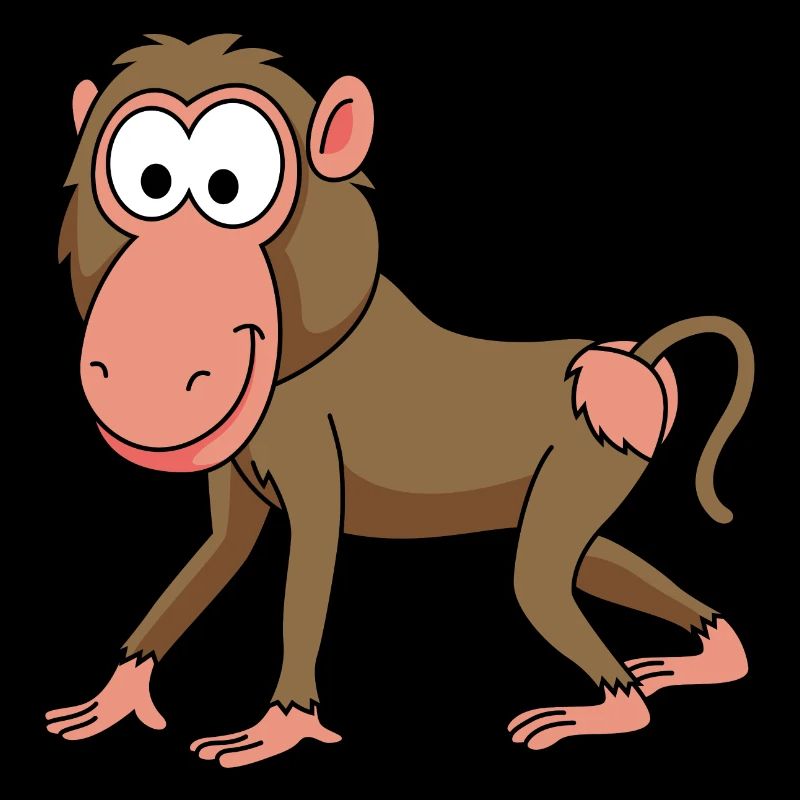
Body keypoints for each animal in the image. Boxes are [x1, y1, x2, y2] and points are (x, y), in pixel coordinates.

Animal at [45, 35, 753, 767]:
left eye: (228, 187)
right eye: (150, 182)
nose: (139, 376)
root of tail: (628, 357)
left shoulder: (307, 443)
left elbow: (309, 565)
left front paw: (282, 728)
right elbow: (218, 552)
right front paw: (118, 697)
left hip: (592, 456)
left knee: (543, 581)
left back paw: (611, 709)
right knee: (588, 563)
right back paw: (712, 656)